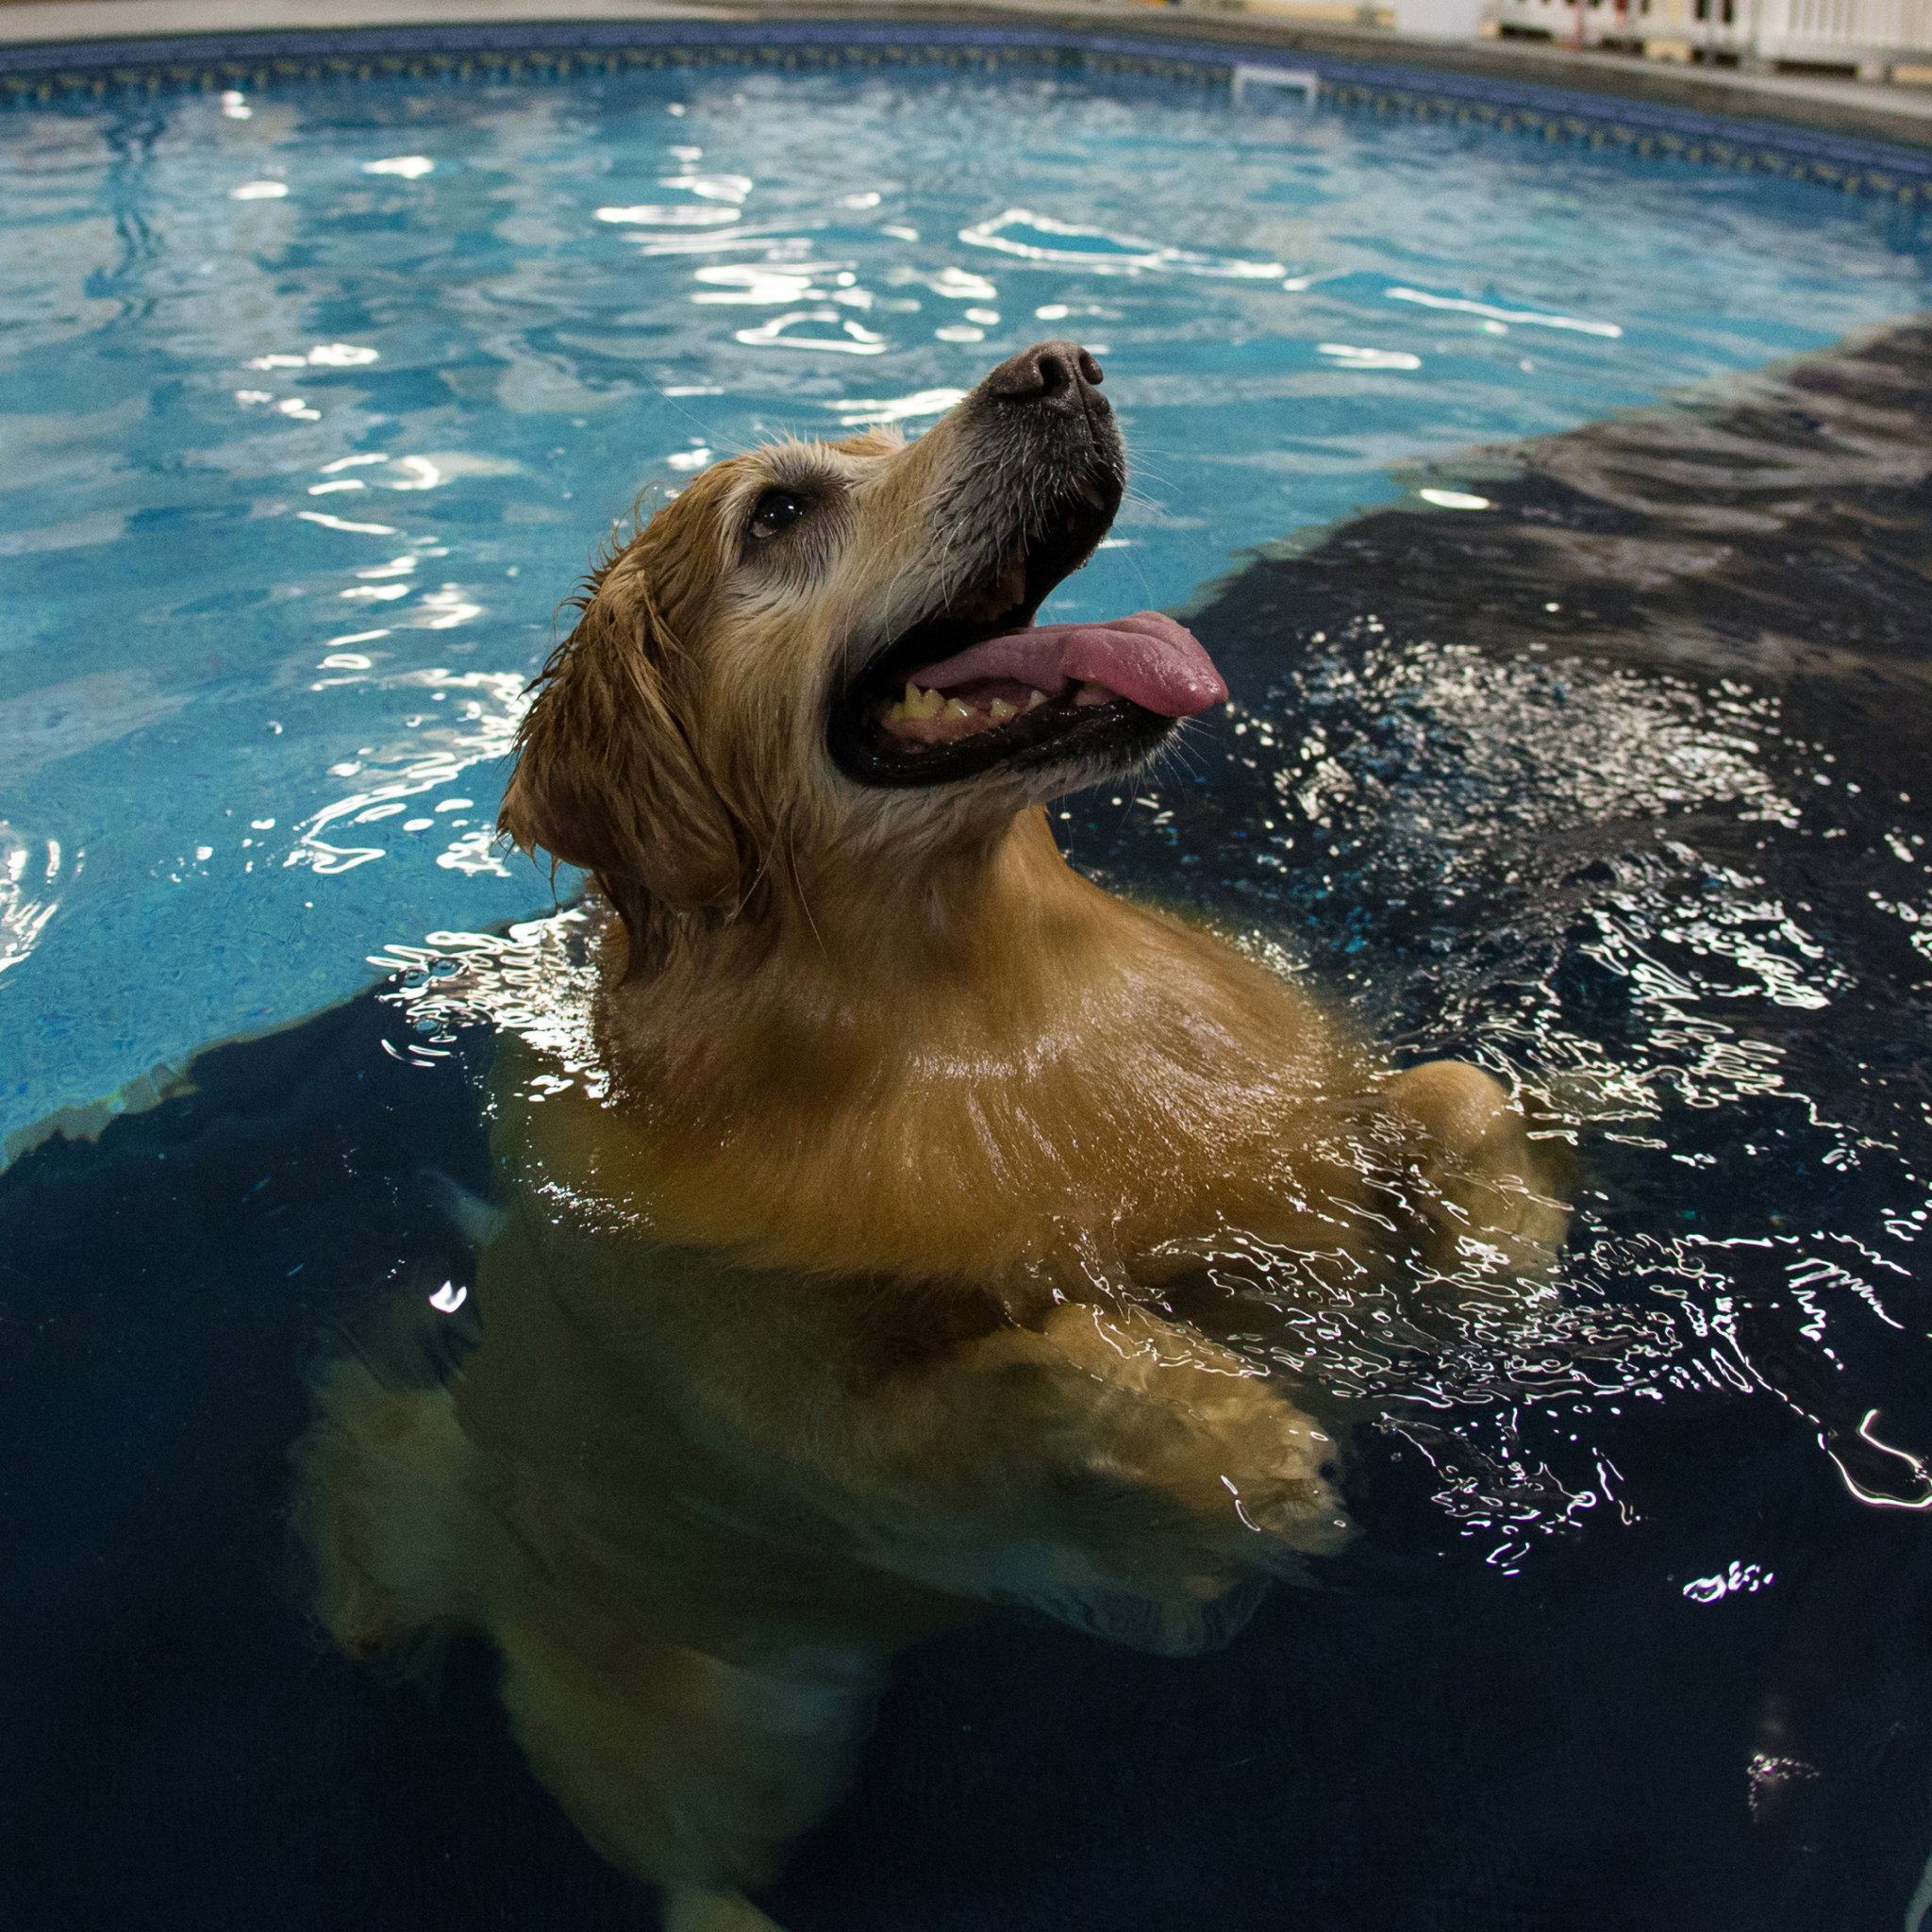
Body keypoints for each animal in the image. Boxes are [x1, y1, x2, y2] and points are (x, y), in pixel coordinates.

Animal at [301, 340, 1568, 1924]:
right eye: (780, 514)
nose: (1062, 365)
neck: (984, 999)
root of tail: (478, 1538)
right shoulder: (825, 1442)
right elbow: (1052, 1352)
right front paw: (1242, 1444)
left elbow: (1453, 1090)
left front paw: (1509, 1255)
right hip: (704, 1719)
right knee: (693, 1879)